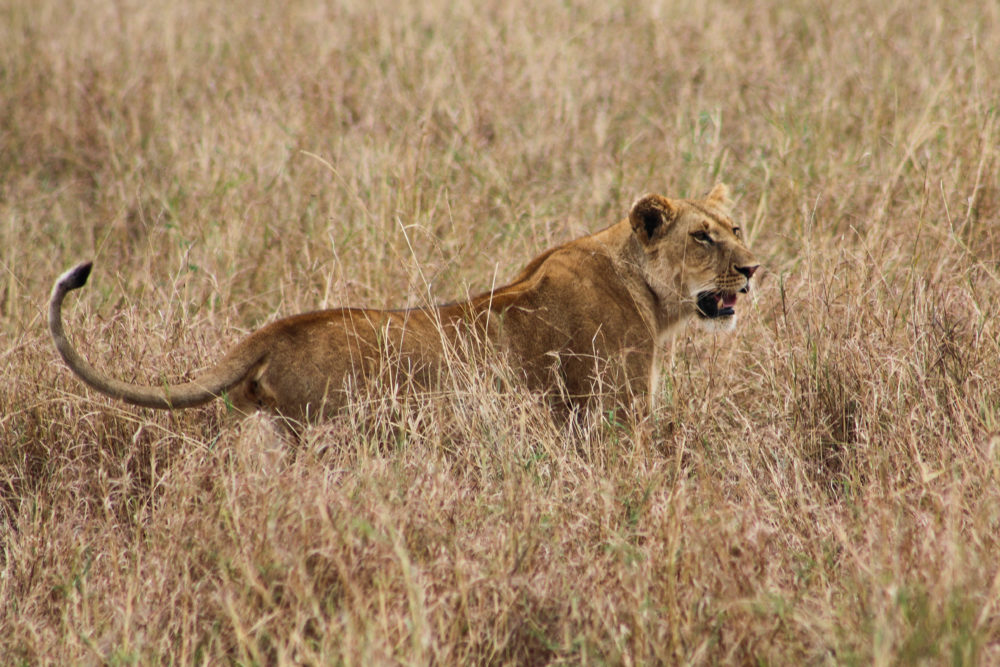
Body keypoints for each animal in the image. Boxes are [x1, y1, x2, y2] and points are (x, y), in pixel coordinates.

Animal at [49, 184, 758, 433]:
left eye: (736, 227)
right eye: (701, 237)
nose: (753, 271)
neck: (651, 296)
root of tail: (271, 333)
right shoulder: (615, 412)